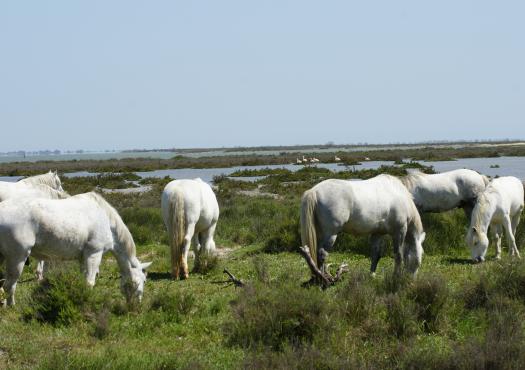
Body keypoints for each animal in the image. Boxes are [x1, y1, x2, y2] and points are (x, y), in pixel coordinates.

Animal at [0, 191, 151, 306]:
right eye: (142, 281)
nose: (137, 305)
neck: (106, 220)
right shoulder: (94, 254)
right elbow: (90, 282)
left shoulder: (83, 258)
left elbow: (83, 280)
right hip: (17, 258)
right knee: (9, 285)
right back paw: (12, 307)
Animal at [298, 175, 426, 276]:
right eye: (418, 260)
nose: (410, 280)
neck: (400, 195)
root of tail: (314, 191)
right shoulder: (399, 231)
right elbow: (399, 255)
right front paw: (396, 276)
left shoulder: (377, 234)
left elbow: (376, 255)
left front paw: (372, 275)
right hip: (331, 234)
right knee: (322, 254)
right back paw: (323, 277)